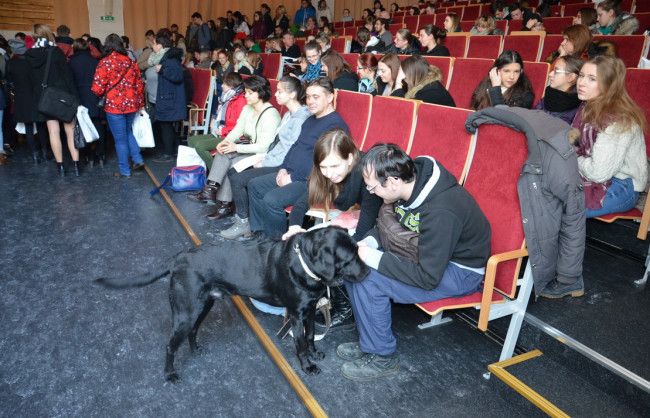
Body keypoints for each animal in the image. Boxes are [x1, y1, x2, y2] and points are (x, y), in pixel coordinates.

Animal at [97, 227, 370, 380]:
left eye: (358, 250)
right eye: (349, 258)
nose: (368, 272)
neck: (303, 263)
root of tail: (176, 259)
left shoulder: (311, 309)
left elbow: (312, 334)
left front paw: (315, 354)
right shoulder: (295, 313)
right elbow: (300, 343)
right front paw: (307, 367)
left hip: (203, 306)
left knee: (193, 332)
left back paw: (196, 351)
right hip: (186, 311)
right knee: (170, 345)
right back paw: (169, 374)